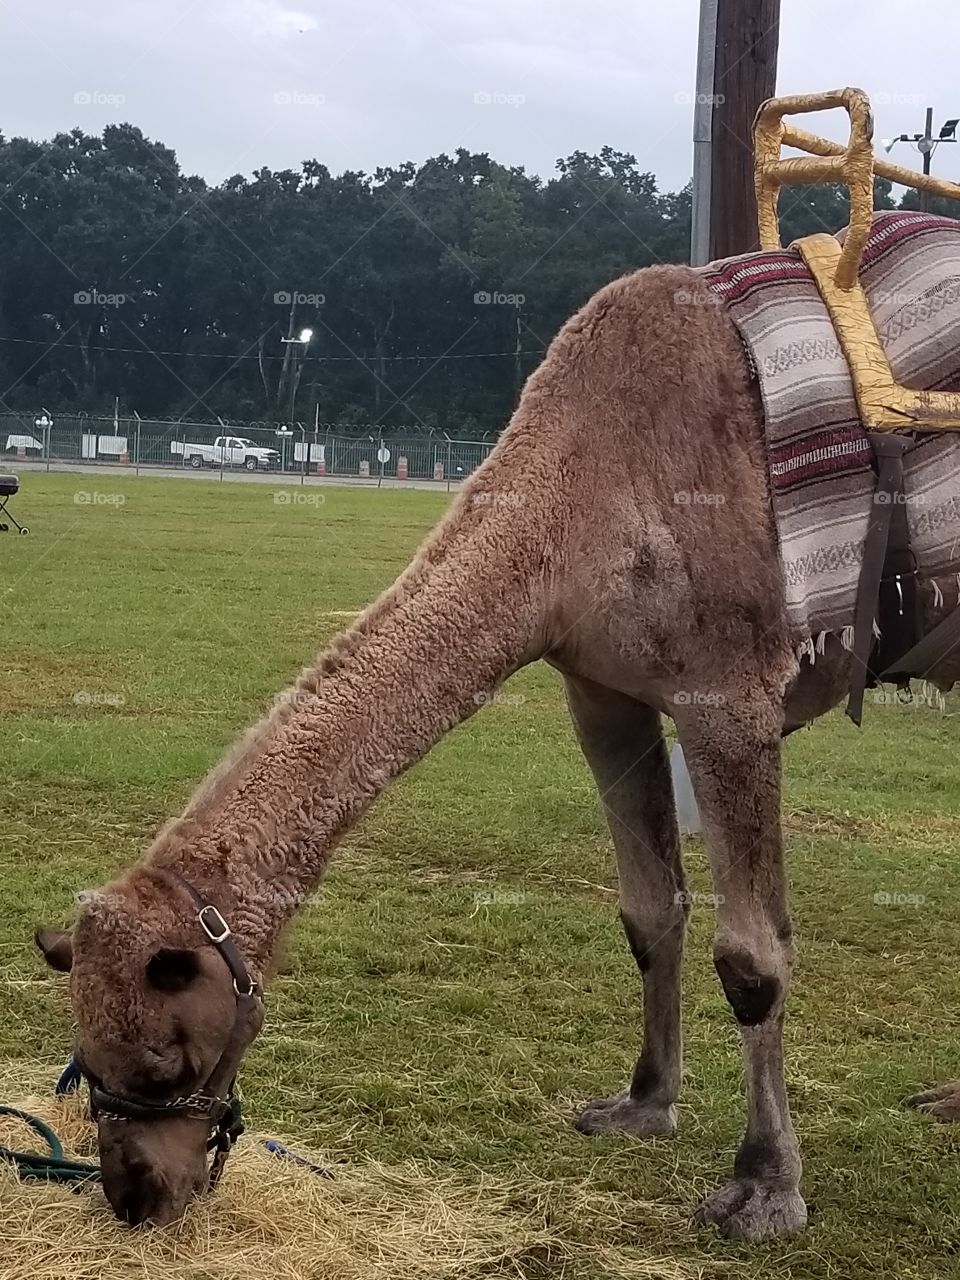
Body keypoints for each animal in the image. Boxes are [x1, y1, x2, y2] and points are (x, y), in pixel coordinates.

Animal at [35, 252, 960, 1240]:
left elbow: (751, 957)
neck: (581, 491)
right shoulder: (602, 691)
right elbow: (649, 910)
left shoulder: (730, 691)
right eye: (85, 1068)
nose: (135, 1191)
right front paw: (641, 1105)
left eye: (166, 1060)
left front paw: (763, 1188)